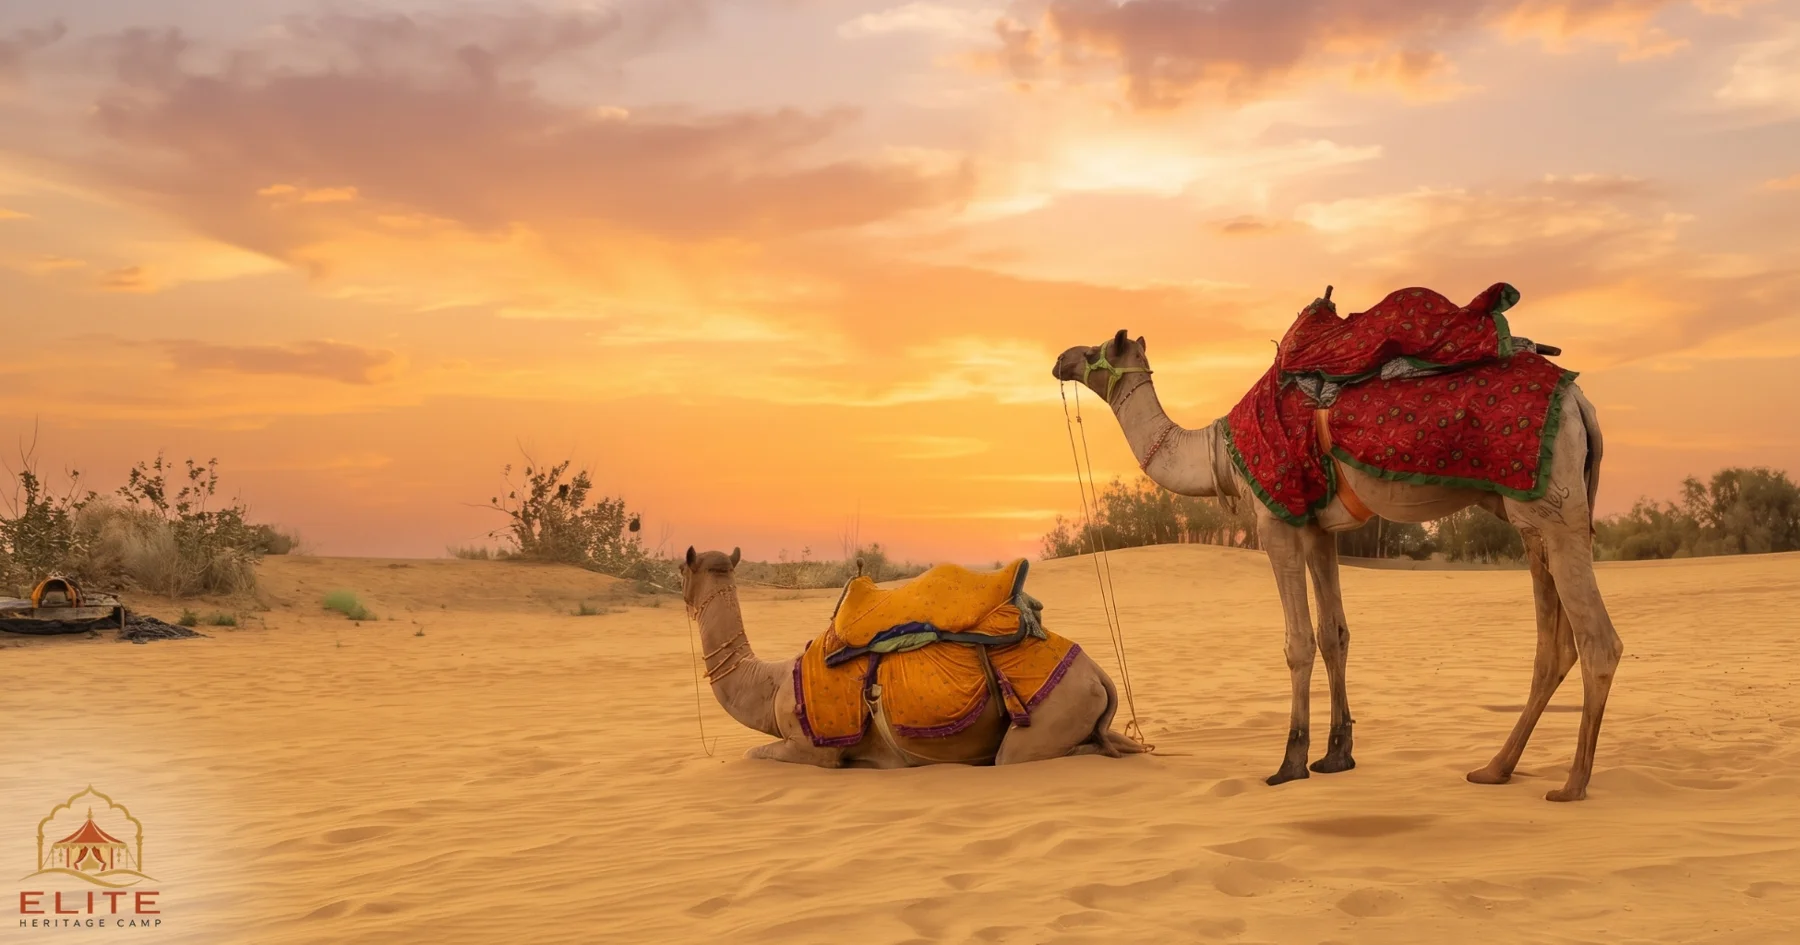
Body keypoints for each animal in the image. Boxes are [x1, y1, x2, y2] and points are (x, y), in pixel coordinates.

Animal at [678, 546, 1148, 767]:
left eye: (682, 568)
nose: (675, 583)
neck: (772, 684)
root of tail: (1098, 673)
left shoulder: (814, 749)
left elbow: (752, 754)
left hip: (1051, 713)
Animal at [1051, 330, 1622, 801]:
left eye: (1100, 345)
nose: (1060, 358)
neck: (1218, 451)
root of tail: (1580, 403)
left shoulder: (1276, 520)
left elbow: (1299, 642)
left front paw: (1291, 761)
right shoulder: (1318, 529)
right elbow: (1335, 634)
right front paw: (1337, 754)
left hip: (1554, 507)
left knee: (1599, 641)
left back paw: (1572, 784)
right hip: (1532, 517)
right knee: (1555, 647)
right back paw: (1495, 768)